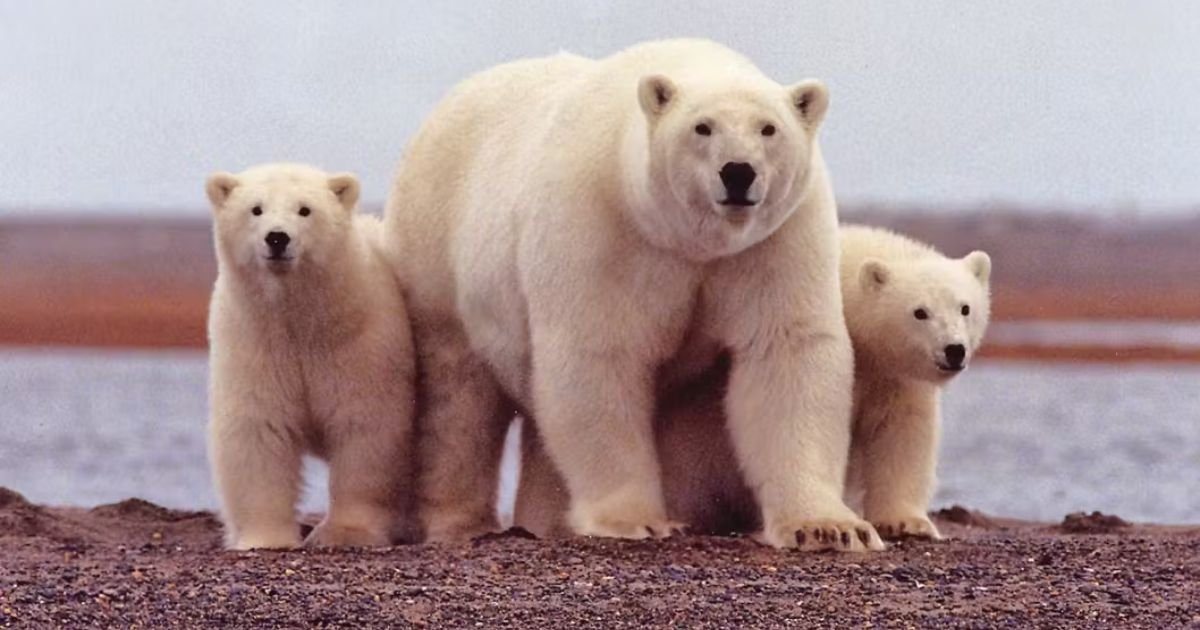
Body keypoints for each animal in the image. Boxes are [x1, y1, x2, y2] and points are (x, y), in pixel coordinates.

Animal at [205, 163, 417, 550]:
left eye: (305, 209)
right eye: (256, 209)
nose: (277, 238)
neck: (301, 321)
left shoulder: (359, 344)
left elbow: (365, 428)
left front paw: (345, 533)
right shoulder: (254, 342)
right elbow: (259, 430)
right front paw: (266, 538)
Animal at [383, 38, 881, 551]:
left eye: (769, 128)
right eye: (702, 127)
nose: (738, 172)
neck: (687, 239)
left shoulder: (774, 241)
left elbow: (786, 351)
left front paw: (829, 527)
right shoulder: (604, 227)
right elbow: (599, 356)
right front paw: (635, 519)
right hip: (439, 253)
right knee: (458, 398)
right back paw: (460, 522)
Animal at [515, 225, 992, 542]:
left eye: (965, 307)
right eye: (919, 312)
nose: (953, 350)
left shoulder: (892, 376)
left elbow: (902, 433)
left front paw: (907, 522)